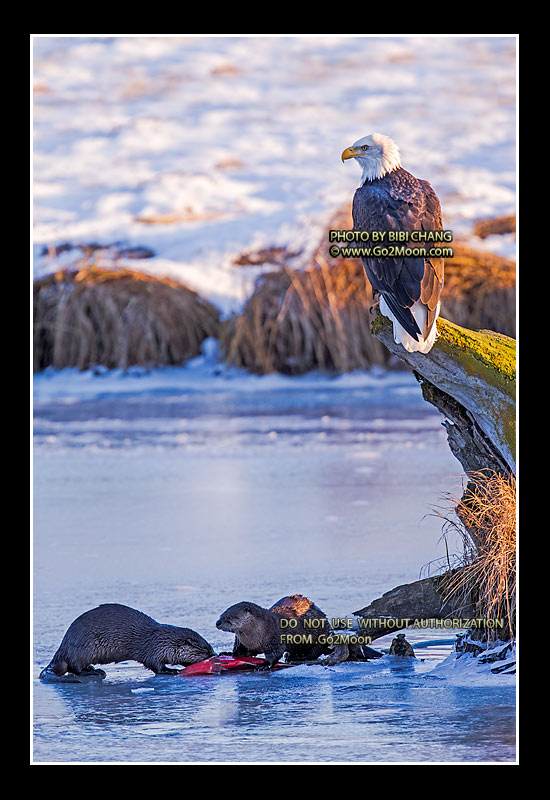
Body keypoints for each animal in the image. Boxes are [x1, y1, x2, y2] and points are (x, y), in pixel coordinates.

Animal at [39, 603, 215, 681]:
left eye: (211, 648)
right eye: (206, 650)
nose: (215, 654)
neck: (162, 641)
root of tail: (64, 646)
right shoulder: (153, 650)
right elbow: (155, 666)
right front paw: (171, 670)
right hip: (83, 649)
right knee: (75, 667)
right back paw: (94, 672)